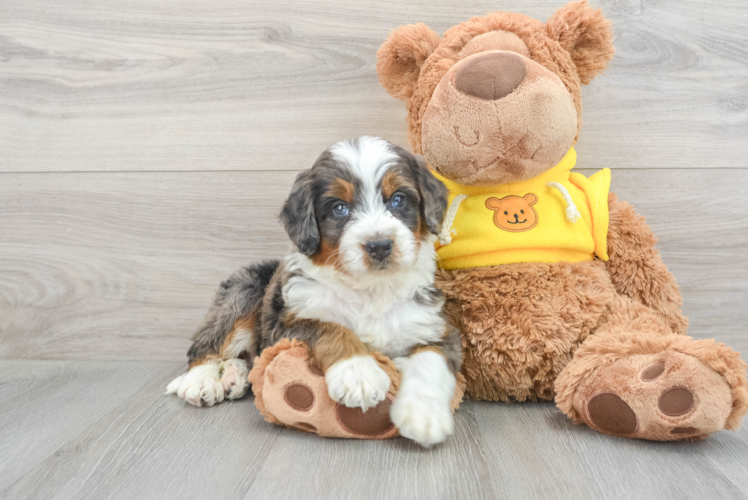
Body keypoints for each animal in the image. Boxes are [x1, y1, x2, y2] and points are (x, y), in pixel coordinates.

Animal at [168, 136, 462, 446]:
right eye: (340, 208)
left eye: (398, 199)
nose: (379, 245)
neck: (370, 289)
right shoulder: (288, 324)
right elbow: (331, 328)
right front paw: (358, 373)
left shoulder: (433, 327)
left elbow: (430, 362)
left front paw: (424, 416)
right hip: (244, 290)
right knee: (205, 346)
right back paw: (201, 381)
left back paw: (234, 377)